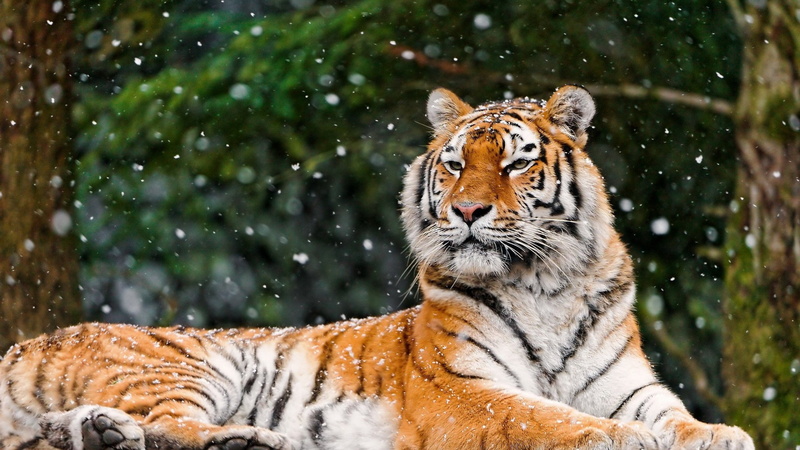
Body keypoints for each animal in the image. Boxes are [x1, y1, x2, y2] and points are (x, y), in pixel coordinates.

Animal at [0, 86, 754, 450]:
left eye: (516, 163)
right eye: (455, 163)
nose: (469, 210)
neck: (546, 283)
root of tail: (29, 341)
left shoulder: (625, 381)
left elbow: (676, 414)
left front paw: (722, 435)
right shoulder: (460, 391)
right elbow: (548, 420)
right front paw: (626, 439)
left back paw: (101, 434)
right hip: (184, 366)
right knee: (166, 425)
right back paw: (247, 441)